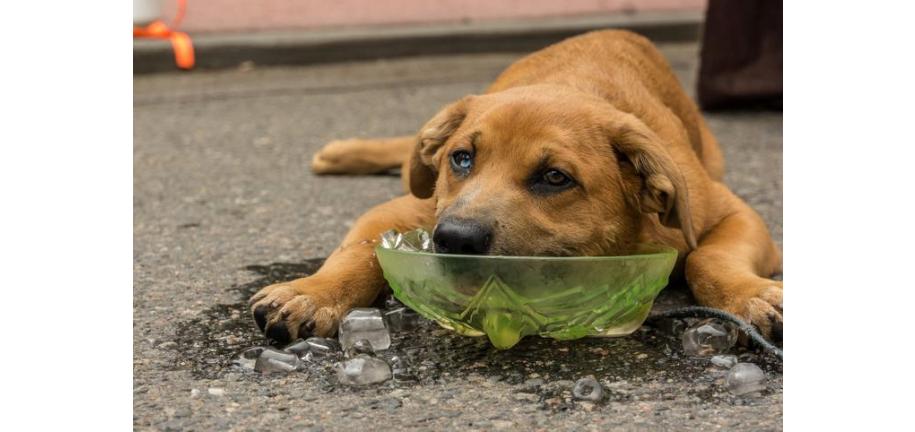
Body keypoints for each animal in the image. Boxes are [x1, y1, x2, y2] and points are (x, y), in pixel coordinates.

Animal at [254, 30, 784, 344]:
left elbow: (707, 257)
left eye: (554, 178)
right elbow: (358, 252)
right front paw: (312, 292)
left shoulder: (732, 212)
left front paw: (751, 296)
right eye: (461, 159)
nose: (454, 240)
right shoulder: (409, 208)